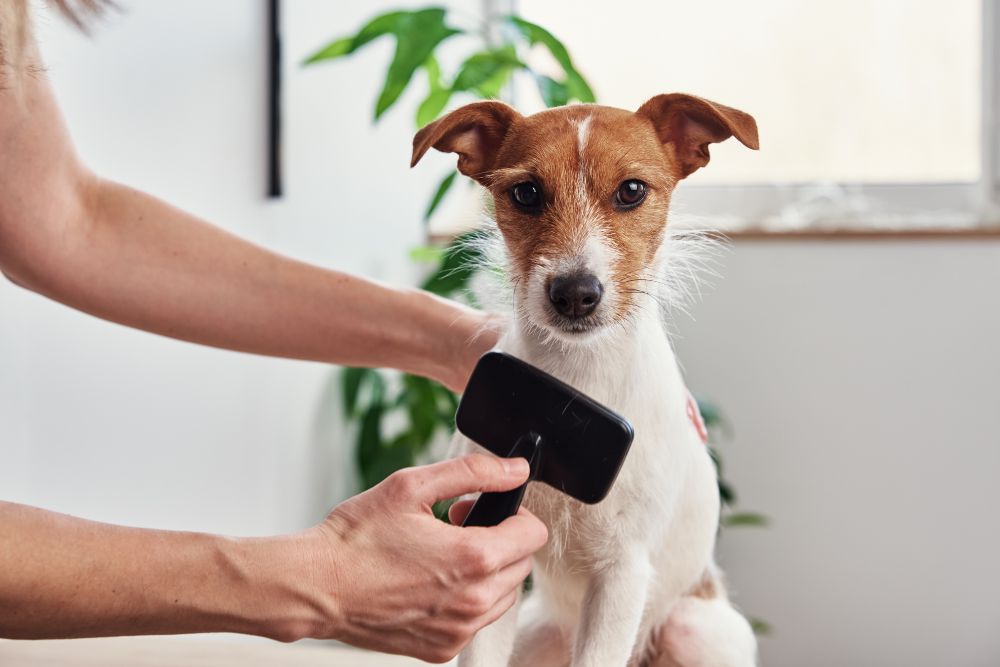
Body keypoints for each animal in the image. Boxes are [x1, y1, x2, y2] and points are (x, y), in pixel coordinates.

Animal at [410, 94, 760, 667]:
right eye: (526, 192)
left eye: (632, 190)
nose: (575, 293)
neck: (576, 380)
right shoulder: (497, 554)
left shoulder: (621, 573)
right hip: (537, 635)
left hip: (695, 630)